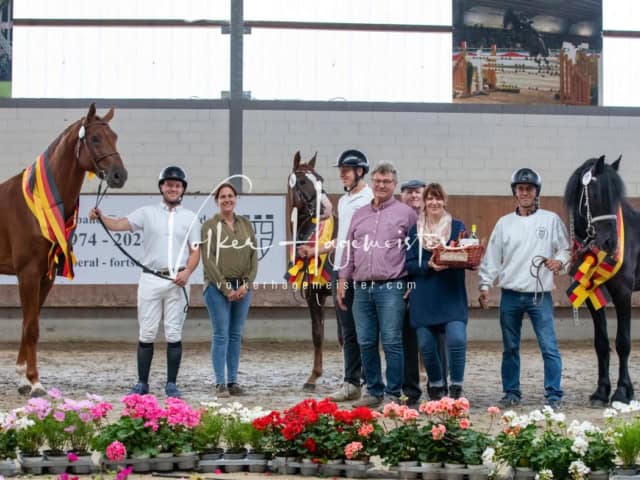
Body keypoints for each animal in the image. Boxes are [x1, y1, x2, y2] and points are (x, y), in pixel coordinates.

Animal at [0, 103, 128, 396]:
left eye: (115, 137)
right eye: (95, 138)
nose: (119, 175)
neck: (39, 206)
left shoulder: (46, 276)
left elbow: (29, 323)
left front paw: (23, 379)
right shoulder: (28, 274)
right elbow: (32, 327)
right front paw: (35, 382)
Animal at [564, 157, 636, 404]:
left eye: (617, 199)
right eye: (594, 196)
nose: (610, 243)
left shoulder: (623, 293)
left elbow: (623, 343)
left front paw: (622, 391)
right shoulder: (590, 294)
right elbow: (601, 343)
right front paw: (601, 391)